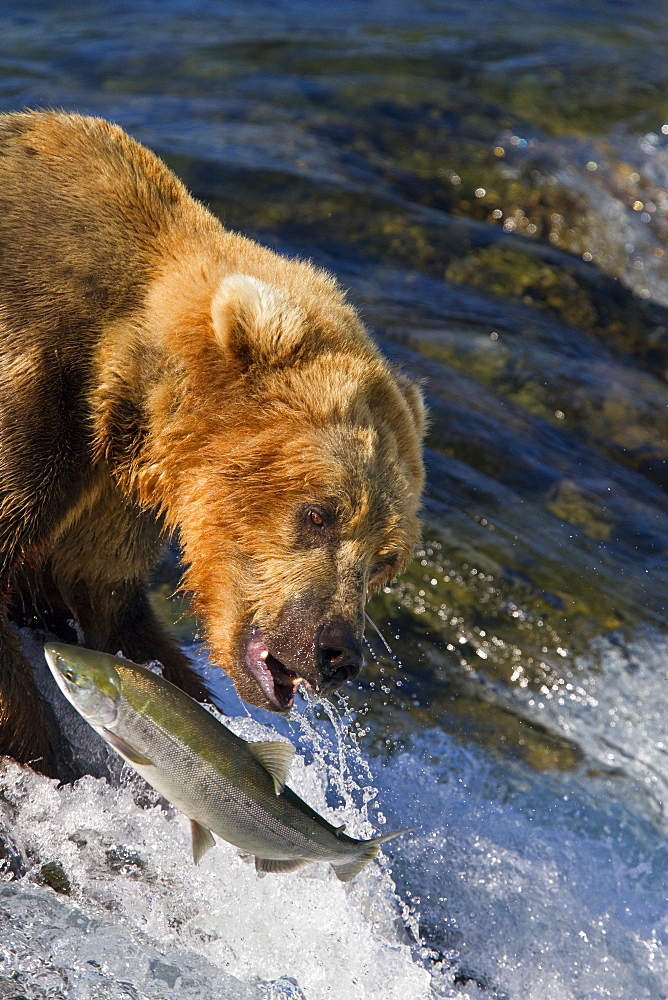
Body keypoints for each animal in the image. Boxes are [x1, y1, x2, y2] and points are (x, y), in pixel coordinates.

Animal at [0, 113, 426, 776]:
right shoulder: (38, 394)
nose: (337, 651)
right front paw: (53, 757)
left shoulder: (116, 492)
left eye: (387, 561)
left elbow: (107, 600)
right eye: (319, 514)